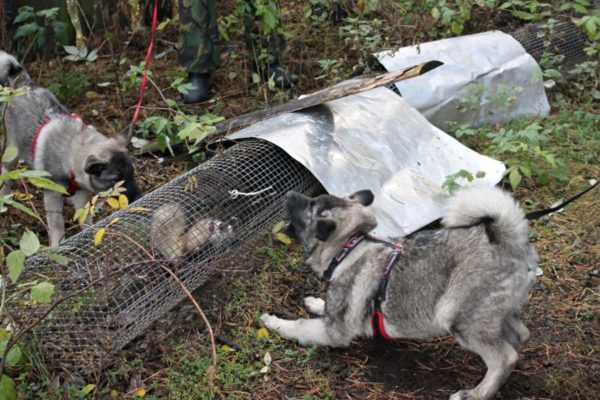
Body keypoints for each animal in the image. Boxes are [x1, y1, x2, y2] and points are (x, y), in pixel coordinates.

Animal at [0, 51, 141, 245]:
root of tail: (23, 83)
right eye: (115, 180)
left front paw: (89, 233)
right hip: (12, 151)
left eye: (132, 173)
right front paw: (57, 245)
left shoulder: (81, 193)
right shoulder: (52, 195)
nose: (138, 198)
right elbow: (57, 224)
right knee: (6, 175)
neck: (70, 152)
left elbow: (84, 216)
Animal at [260, 186, 536, 398]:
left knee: (505, 358)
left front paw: (273, 322)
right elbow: (324, 308)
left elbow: (299, 326)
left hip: (458, 317)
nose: (288, 193)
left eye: (310, 206)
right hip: (495, 312)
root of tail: (507, 241)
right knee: (520, 335)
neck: (349, 248)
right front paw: (316, 302)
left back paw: (477, 393)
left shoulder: (334, 331)